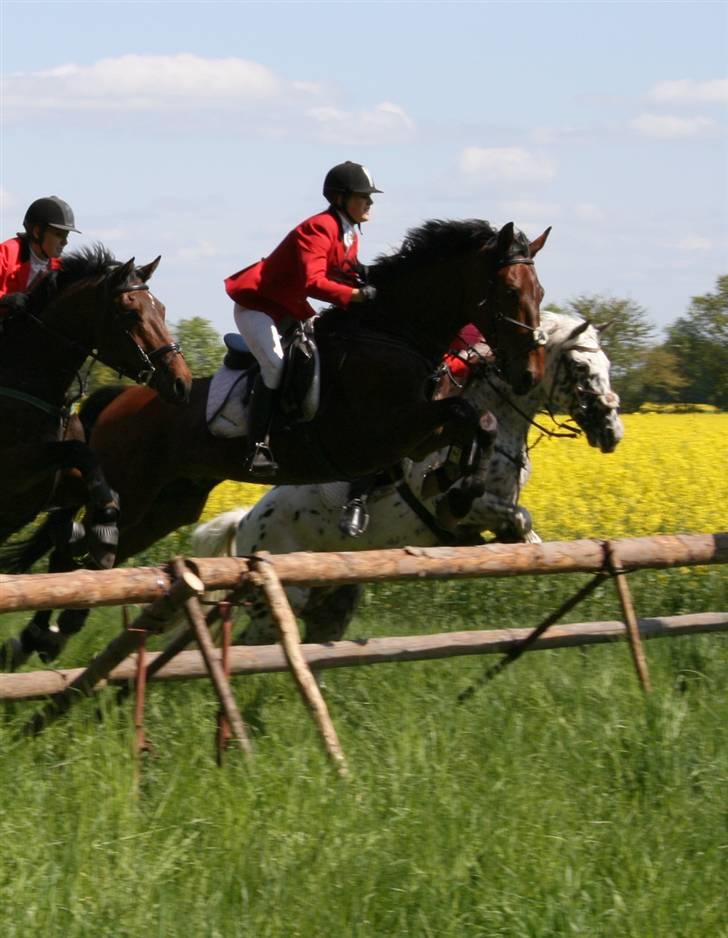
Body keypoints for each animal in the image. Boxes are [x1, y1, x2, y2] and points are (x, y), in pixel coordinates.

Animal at [0, 241, 192, 572]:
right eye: (130, 313)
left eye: (162, 309)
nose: (182, 382)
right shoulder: (12, 467)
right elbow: (79, 451)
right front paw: (101, 529)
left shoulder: (59, 487)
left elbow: (98, 485)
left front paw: (100, 528)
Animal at [193, 308, 624, 644]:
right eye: (580, 367)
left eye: (608, 366)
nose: (611, 432)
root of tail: (246, 520)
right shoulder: (459, 506)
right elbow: (518, 517)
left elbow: (520, 521)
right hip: (281, 599)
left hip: (332, 601)